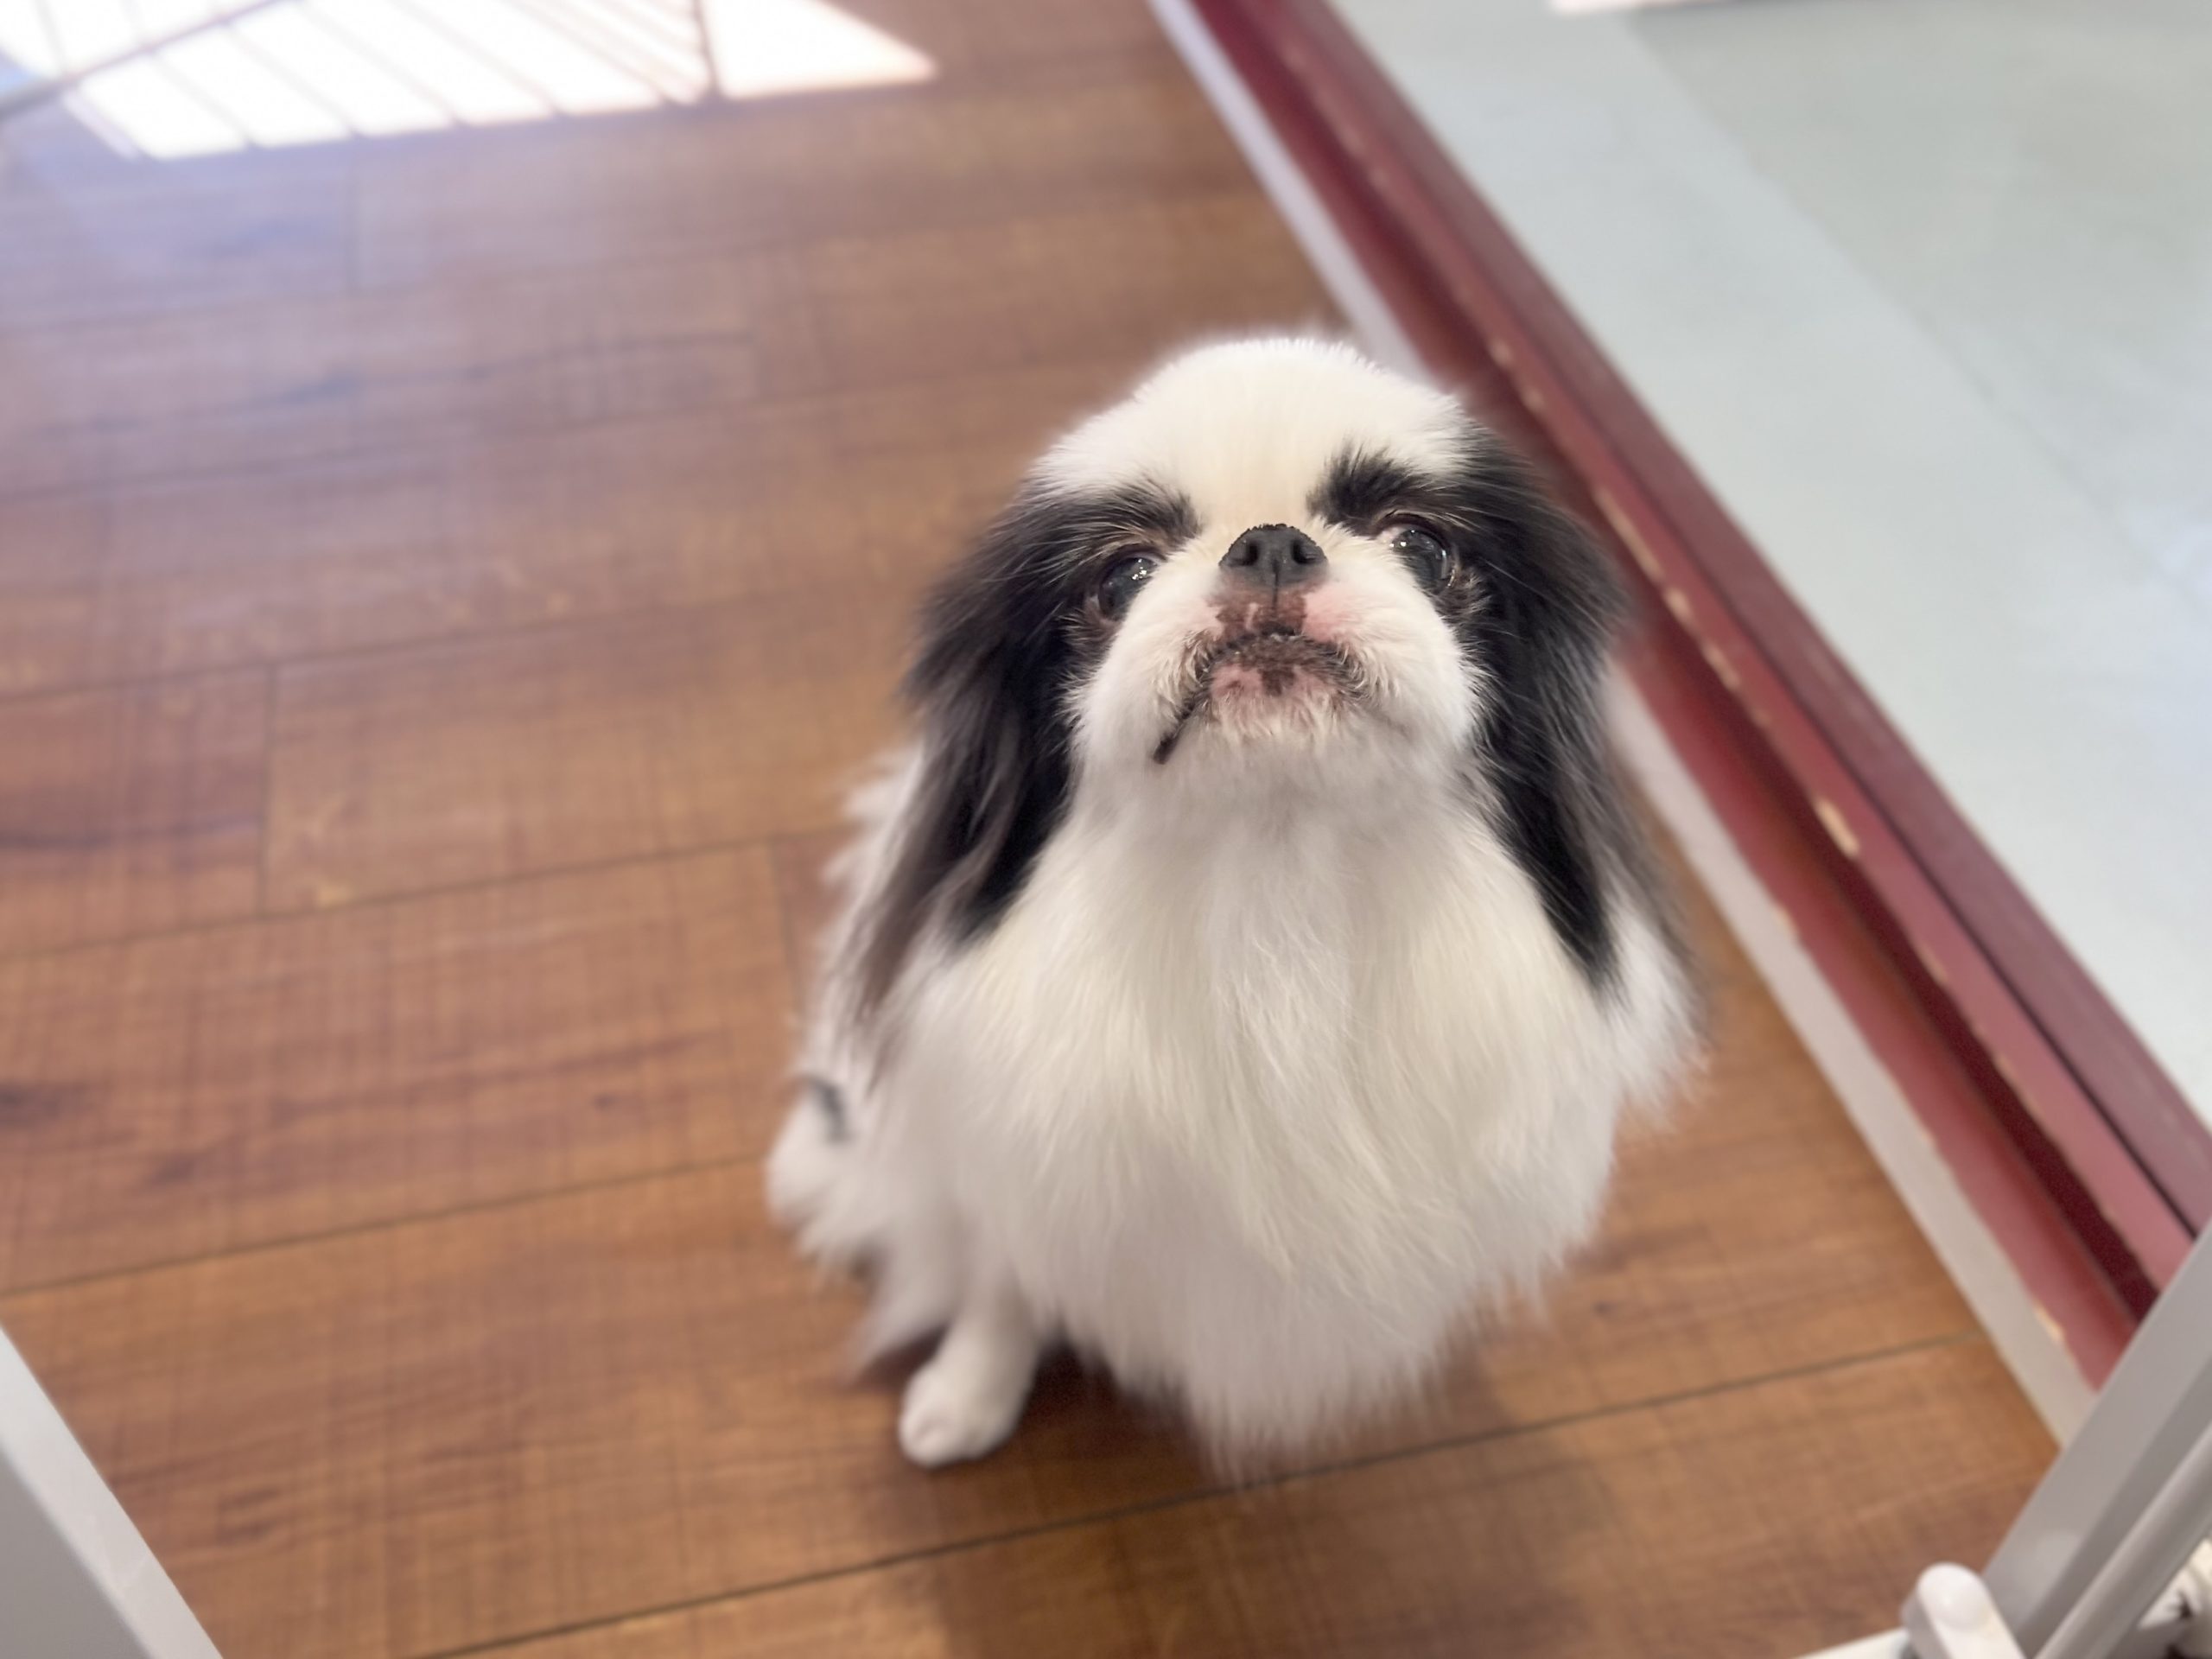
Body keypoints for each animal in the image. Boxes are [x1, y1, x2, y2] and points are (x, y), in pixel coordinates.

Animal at [768, 338, 1697, 1468]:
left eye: (1422, 547)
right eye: (1121, 576)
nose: (1271, 546)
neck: (1273, 888)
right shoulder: (1005, 1155)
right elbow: (1003, 1277)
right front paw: (967, 1395)